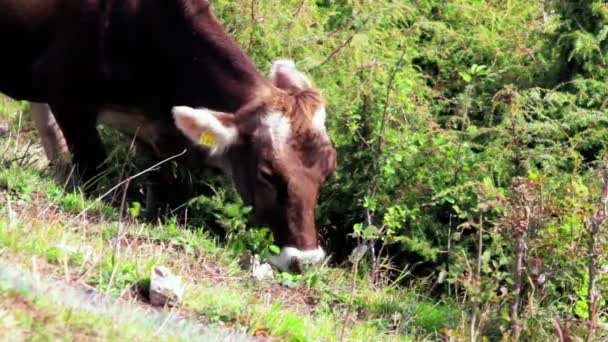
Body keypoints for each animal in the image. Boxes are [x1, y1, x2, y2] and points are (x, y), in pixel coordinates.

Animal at [0, 0, 338, 272]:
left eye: (327, 172)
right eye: (267, 172)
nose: (304, 260)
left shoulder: (153, 134)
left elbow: (161, 189)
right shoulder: (66, 96)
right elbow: (93, 172)